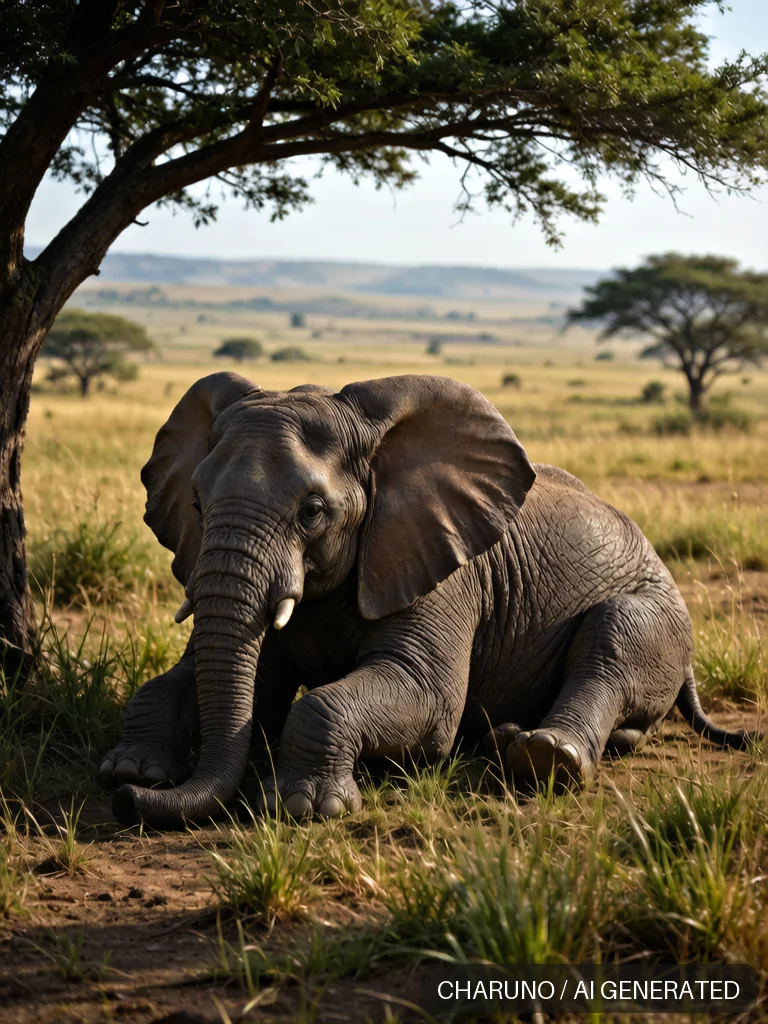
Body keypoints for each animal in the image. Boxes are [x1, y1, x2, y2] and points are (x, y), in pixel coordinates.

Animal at [100, 372, 754, 829]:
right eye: (197, 504)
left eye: (312, 511)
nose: (133, 802)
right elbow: (230, 685)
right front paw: (129, 769)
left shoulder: (443, 573)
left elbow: (423, 697)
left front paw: (303, 808)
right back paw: (505, 741)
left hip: (660, 613)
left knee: (613, 637)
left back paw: (543, 756)